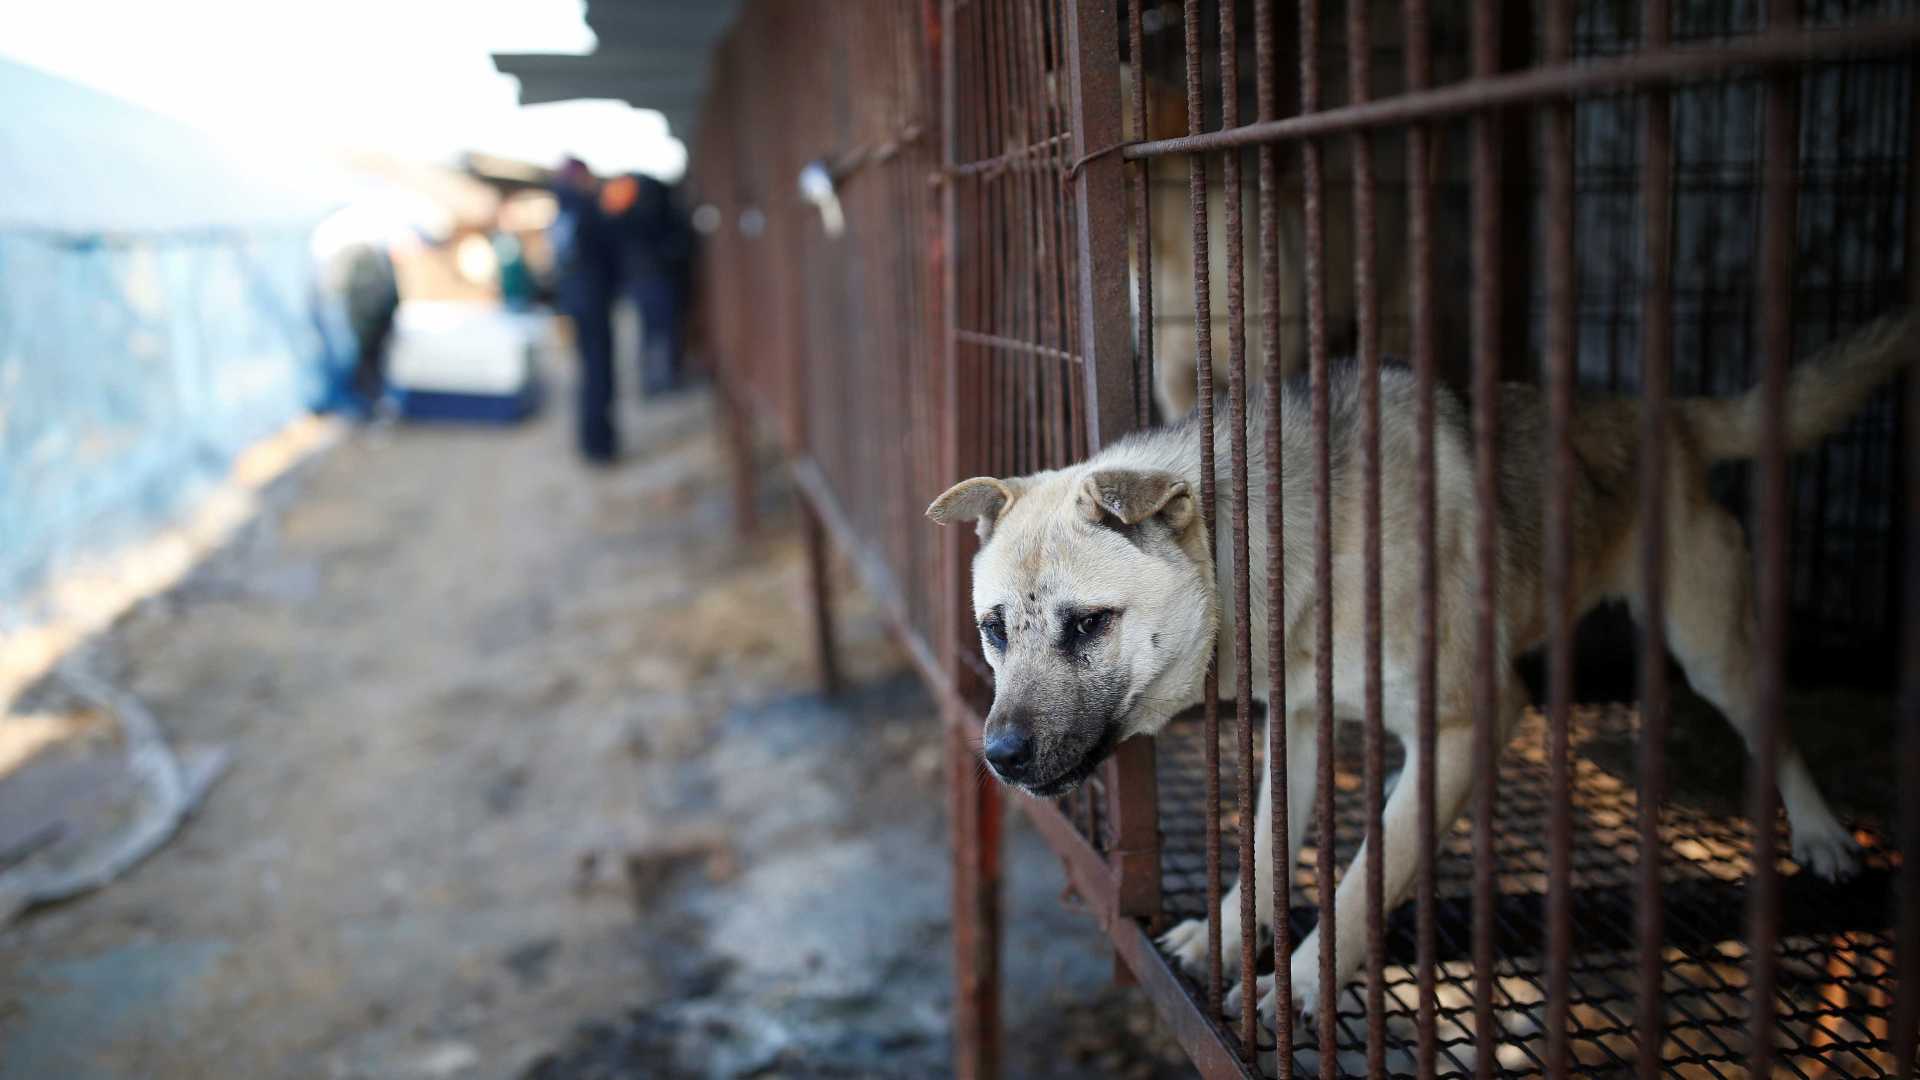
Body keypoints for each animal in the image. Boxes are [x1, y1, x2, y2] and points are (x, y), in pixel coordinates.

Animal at [925, 305, 1904, 1014]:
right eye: (995, 630)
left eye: (1089, 625)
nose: (997, 756)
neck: (1292, 546)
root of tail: (1665, 411)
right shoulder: (1301, 722)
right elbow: (1266, 850)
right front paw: (1226, 935)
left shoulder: (1470, 721)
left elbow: (1366, 880)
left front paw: (1304, 985)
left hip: (1711, 646)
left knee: (1773, 729)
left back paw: (1823, 834)